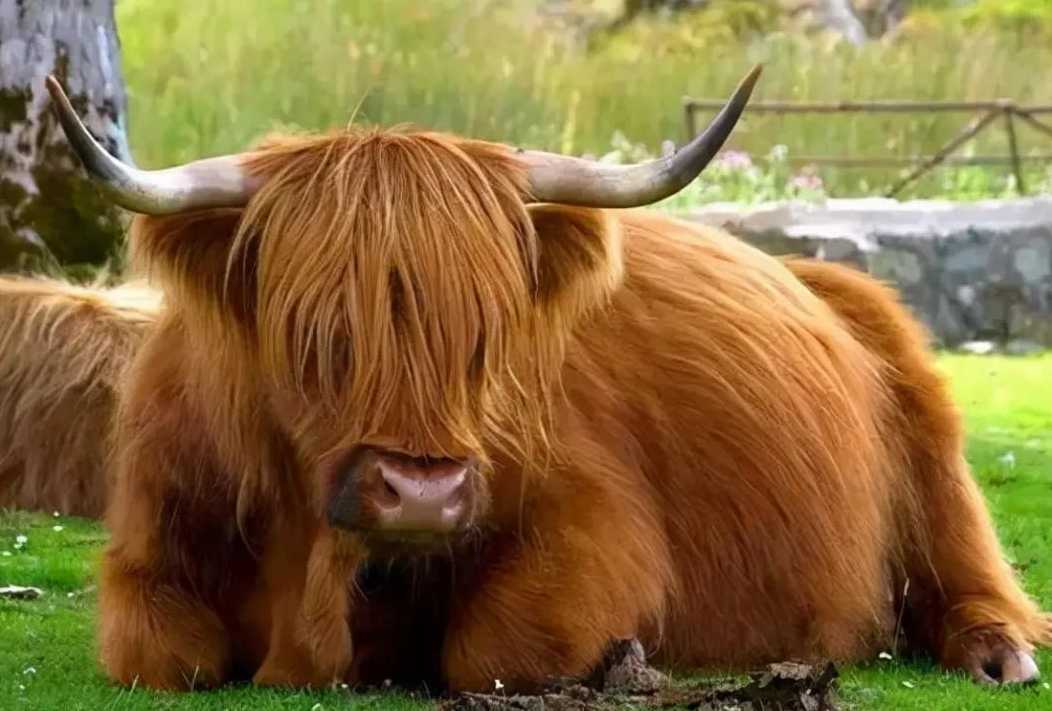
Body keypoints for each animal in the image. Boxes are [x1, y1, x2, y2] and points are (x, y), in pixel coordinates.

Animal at [46, 67, 1050, 694]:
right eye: (316, 334)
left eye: (488, 333)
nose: (422, 490)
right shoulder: (150, 546)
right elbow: (160, 651)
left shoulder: (597, 527)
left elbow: (498, 645)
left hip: (928, 430)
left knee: (967, 558)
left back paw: (998, 652)